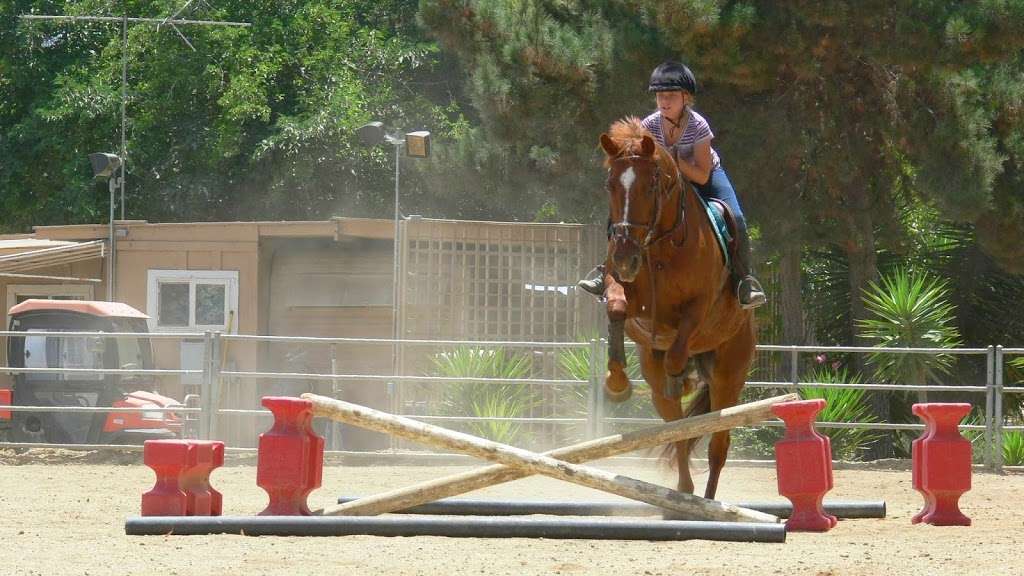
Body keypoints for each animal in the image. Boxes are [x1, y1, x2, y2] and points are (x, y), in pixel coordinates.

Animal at [598, 117, 757, 502]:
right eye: (610, 184)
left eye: (651, 185)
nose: (625, 256)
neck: (660, 245)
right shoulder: (623, 290)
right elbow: (616, 308)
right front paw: (616, 383)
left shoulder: (698, 308)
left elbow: (677, 347)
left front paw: (680, 377)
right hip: (657, 381)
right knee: (677, 431)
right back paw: (682, 493)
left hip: (730, 374)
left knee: (717, 443)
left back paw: (708, 499)